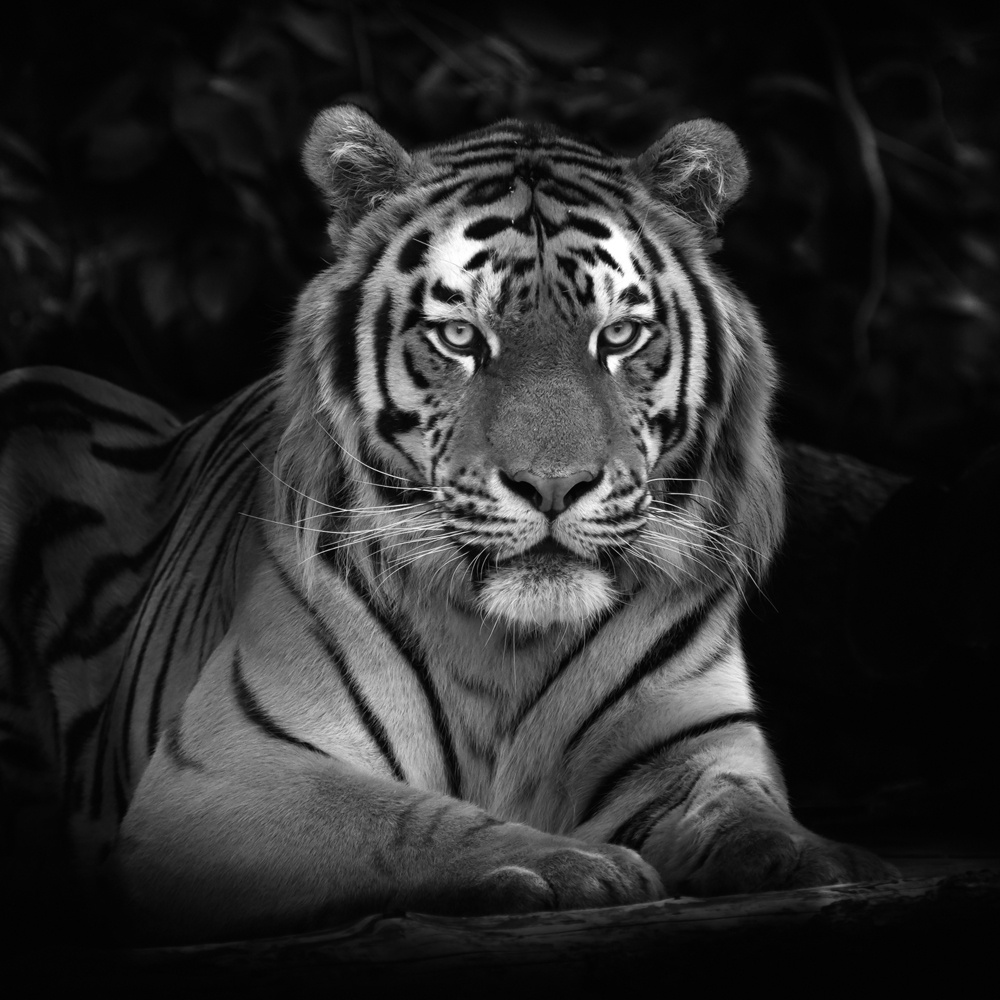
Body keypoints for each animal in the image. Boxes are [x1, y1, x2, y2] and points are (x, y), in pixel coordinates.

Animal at [0, 105, 894, 943]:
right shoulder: (229, 766)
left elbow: (740, 808)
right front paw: (572, 865)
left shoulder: (694, 746)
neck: (511, 649)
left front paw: (818, 858)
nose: (553, 485)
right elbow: (399, 821)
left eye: (620, 336)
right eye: (461, 337)